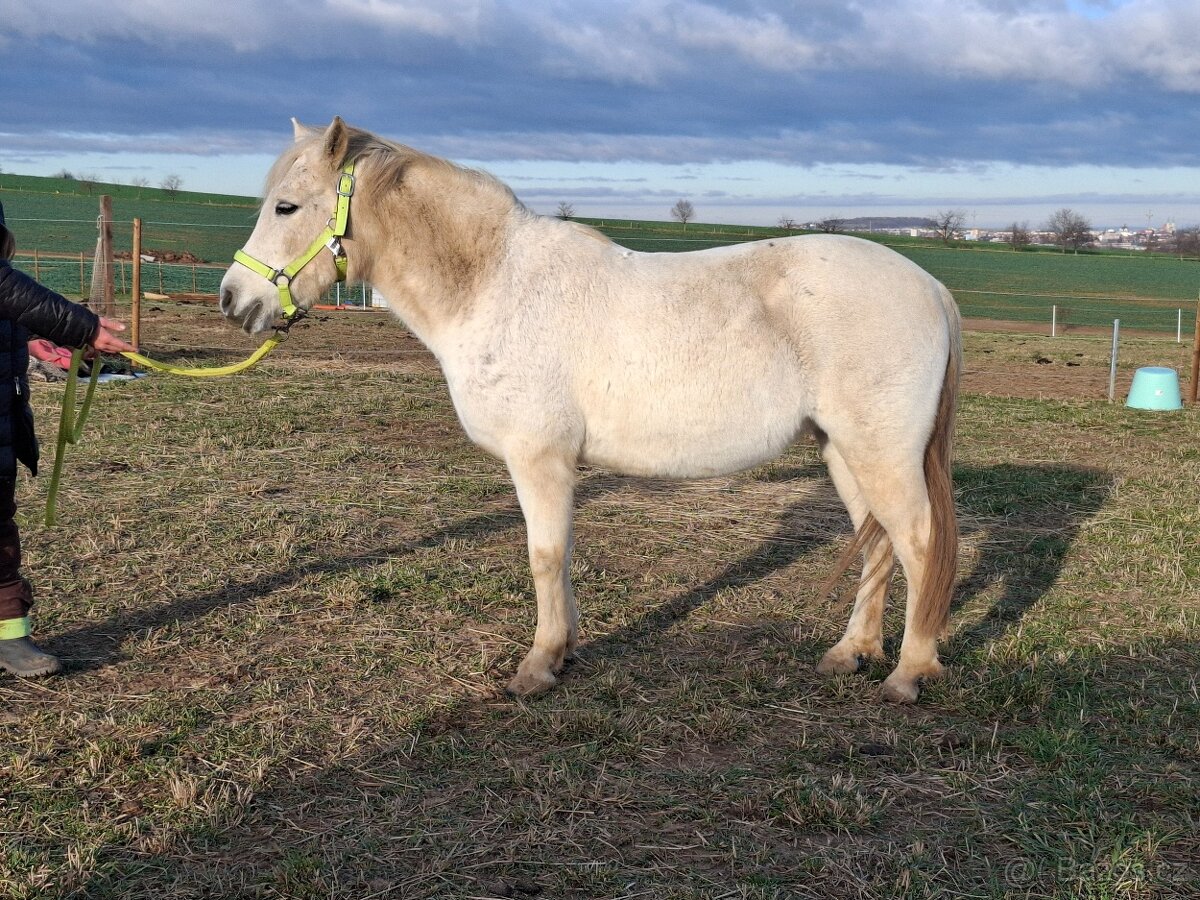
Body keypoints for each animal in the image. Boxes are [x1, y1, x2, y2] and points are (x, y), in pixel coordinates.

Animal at [220, 117, 961, 704]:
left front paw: (540, 664)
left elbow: (545, 555)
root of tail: (930, 286)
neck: (494, 285)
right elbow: (561, 554)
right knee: (878, 543)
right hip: (843, 450)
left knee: (919, 542)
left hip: (881, 453)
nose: (233, 300)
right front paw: (564, 648)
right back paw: (851, 653)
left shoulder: (539, 459)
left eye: (286, 207)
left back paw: (909, 672)